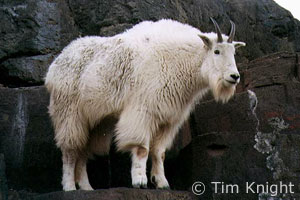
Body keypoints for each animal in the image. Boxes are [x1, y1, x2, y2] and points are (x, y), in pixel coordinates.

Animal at [45, 18, 246, 191]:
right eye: (217, 51)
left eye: (234, 52)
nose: (234, 77)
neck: (181, 59)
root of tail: (54, 66)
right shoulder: (142, 111)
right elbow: (142, 148)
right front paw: (140, 181)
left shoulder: (169, 118)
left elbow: (159, 151)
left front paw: (162, 182)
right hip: (69, 112)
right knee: (70, 149)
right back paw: (69, 186)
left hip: (96, 120)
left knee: (84, 150)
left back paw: (87, 187)